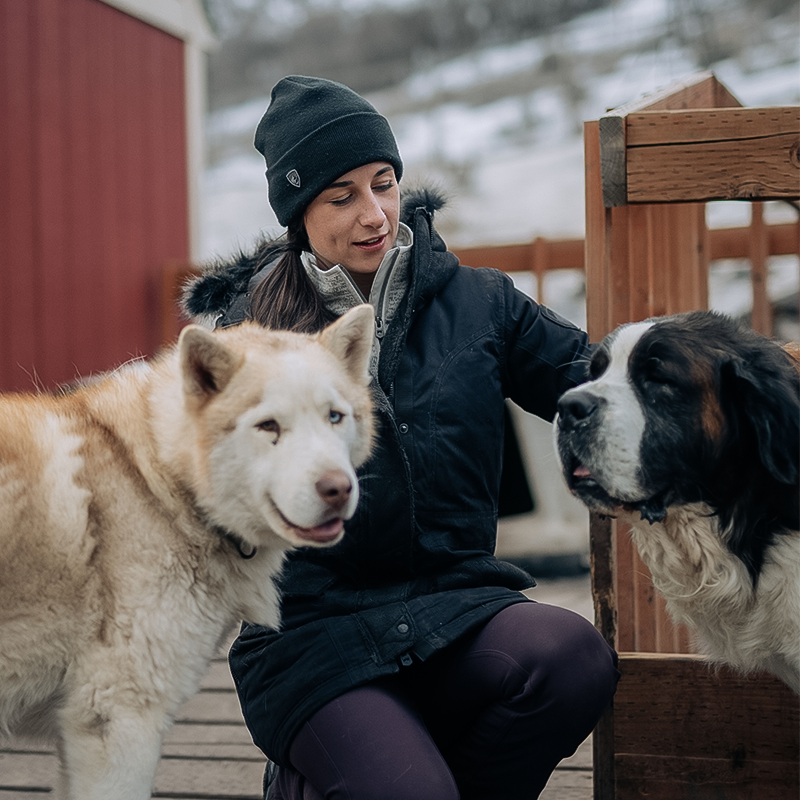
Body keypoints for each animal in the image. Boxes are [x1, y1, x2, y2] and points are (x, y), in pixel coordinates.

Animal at [0, 304, 376, 796]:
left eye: (335, 417)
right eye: (269, 426)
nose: (338, 489)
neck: (156, 477)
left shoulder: (82, 732)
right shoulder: (120, 722)